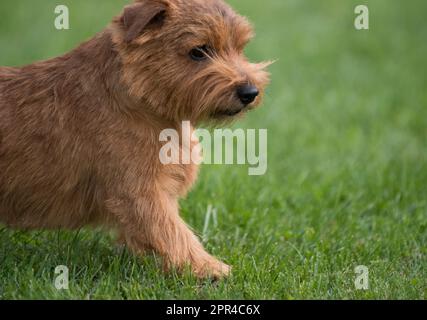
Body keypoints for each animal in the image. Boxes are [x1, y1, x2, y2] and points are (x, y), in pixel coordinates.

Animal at [0, 0, 270, 278]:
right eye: (198, 52)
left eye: (240, 48)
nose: (250, 92)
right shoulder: (139, 192)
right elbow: (173, 233)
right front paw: (210, 269)